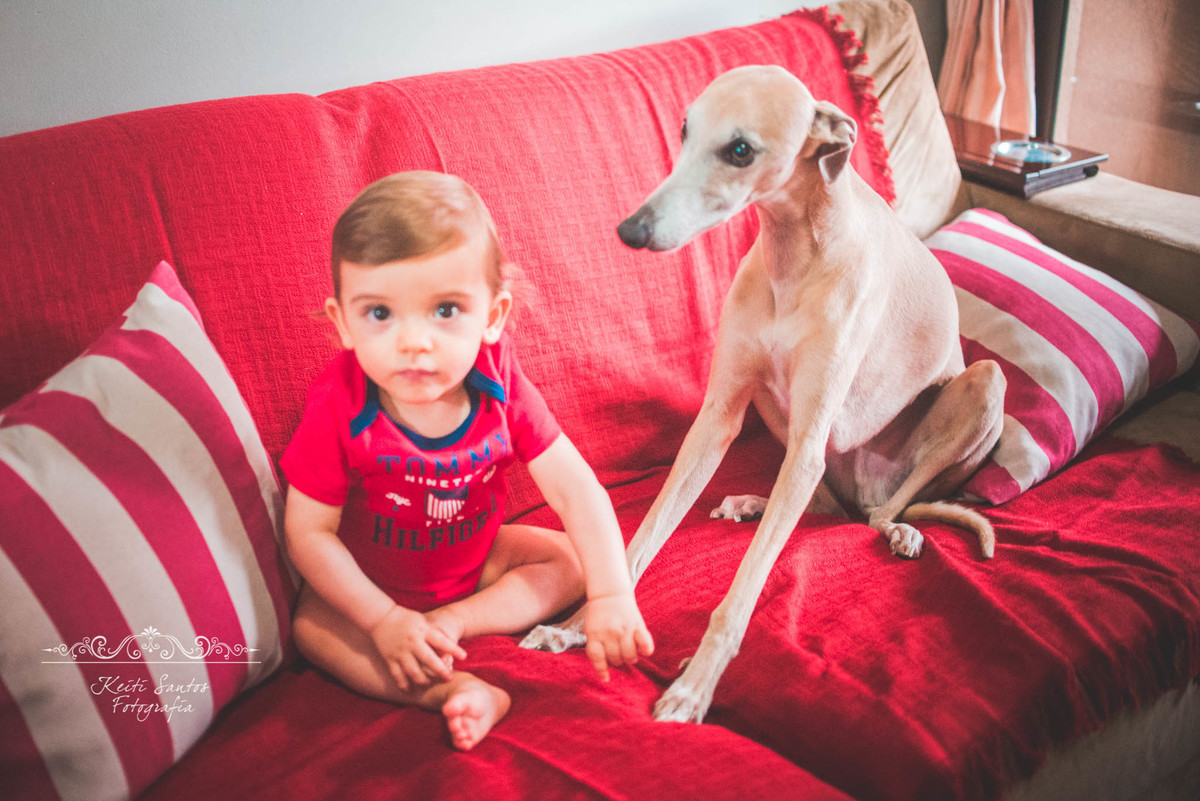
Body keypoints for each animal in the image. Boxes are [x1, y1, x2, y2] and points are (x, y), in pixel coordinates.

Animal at [522, 65, 1006, 723]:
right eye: (684, 130)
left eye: (740, 150)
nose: (630, 230)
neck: (797, 253)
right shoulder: (718, 418)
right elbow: (646, 534)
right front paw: (575, 627)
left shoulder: (808, 440)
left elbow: (743, 590)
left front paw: (694, 686)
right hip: (778, 416)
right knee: (828, 506)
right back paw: (752, 502)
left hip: (983, 385)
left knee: (880, 511)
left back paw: (898, 531)